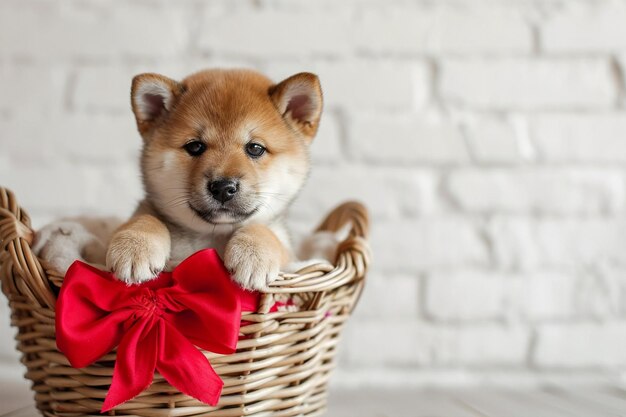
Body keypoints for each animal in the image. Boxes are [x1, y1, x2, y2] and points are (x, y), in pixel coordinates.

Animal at [104, 68, 322, 290]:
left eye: (255, 148)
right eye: (195, 146)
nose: (223, 187)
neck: (213, 236)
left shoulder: (291, 256)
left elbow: (262, 229)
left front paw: (253, 255)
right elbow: (145, 218)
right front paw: (135, 247)